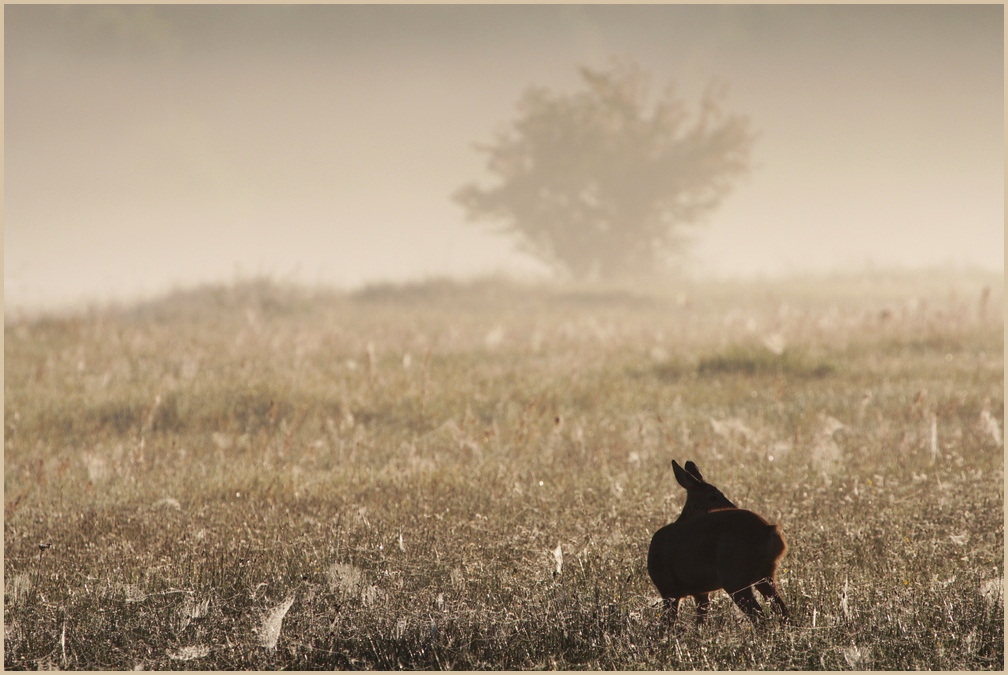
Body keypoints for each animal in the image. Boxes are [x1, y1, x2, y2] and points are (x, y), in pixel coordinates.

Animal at [649, 459, 790, 628]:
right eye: (713, 497)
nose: (734, 506)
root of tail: (770, 530)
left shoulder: (668, 589)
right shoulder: (700, 592)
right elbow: (701, 621)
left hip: (734, 576)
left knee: (759, 616)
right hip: (765, 574)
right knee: (783, 611)